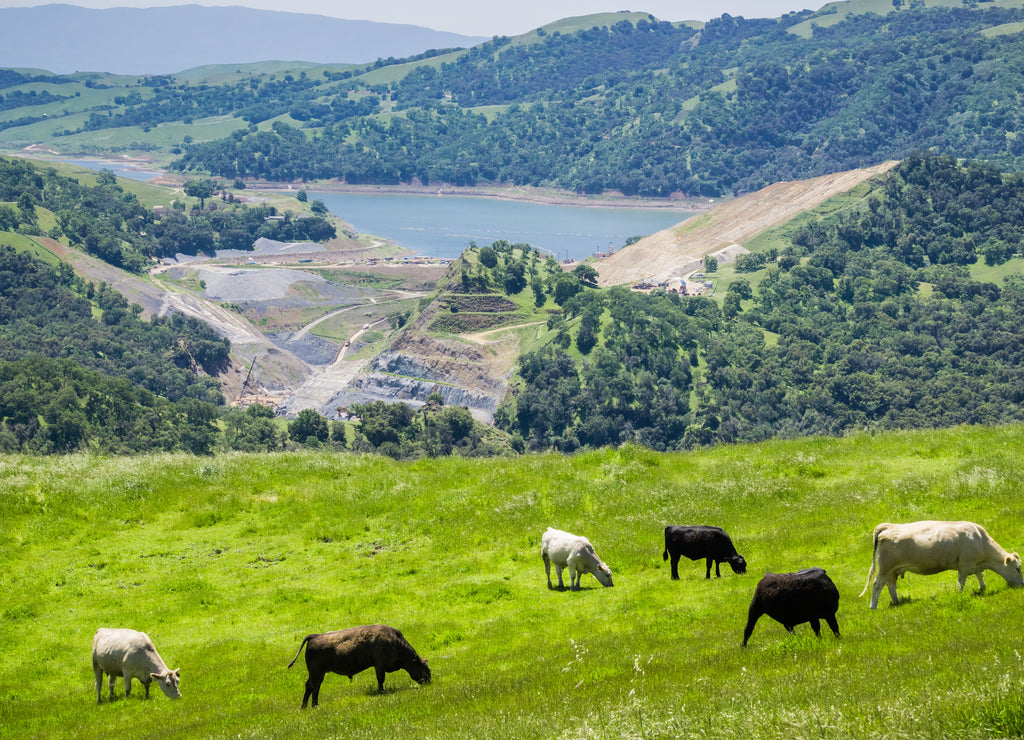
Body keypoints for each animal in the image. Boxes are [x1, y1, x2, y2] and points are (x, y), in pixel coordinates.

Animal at [860, 517, 1019, 610]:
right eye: (1018, 568)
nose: (1021, 584)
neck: (980, 540)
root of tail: (888, 526)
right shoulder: (964, 564)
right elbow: (961, 581)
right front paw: (959, 594)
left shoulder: (973, 564)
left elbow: (980, 575)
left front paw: (982, 588)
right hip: (885, 567)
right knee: (877, 584)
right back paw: (873, 606)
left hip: (892, 570)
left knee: (890, 584)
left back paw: (897, 602)